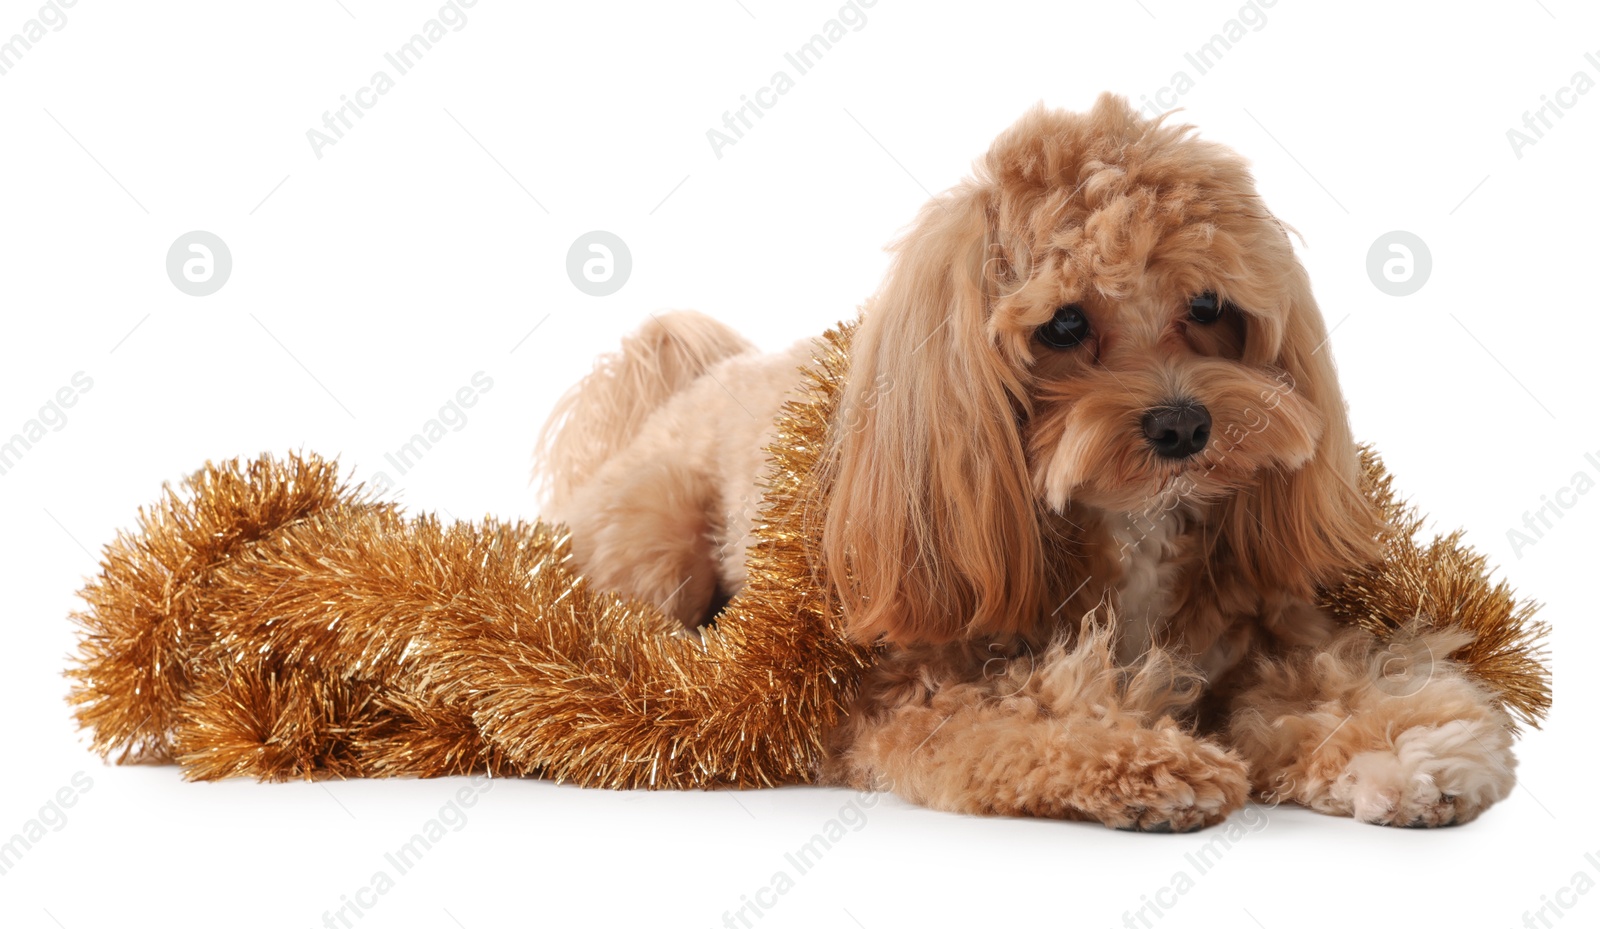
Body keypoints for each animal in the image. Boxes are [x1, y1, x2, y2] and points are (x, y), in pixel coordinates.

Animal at [534, 94, 1510, 831]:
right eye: (1065, 324)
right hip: (658, 545)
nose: (1183, 424)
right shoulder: (919, 689)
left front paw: (1406, 748)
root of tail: (693, 383)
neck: (1130, 529)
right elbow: (1026, 713)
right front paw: (1145, 759)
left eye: (1207, 305)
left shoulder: (1254, 640)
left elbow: (1325, 683)